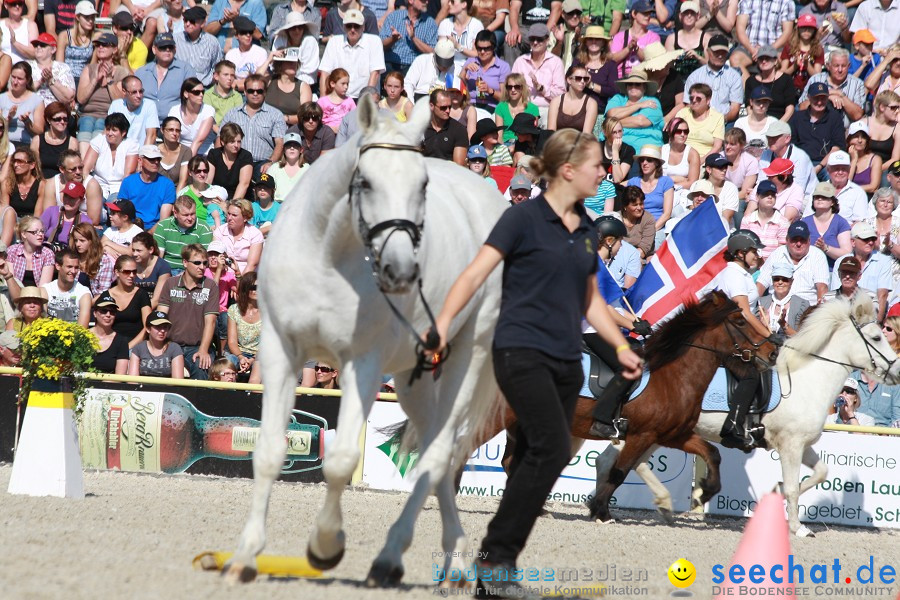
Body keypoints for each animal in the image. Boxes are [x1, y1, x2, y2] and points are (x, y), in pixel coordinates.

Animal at [225, 97, 506, 584]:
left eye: (423, 184)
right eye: (366, 182)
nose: (401, 271)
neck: (326, 254)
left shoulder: (363, 364)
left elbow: (339, 460)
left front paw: (324, 546)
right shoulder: (281, 352)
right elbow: (268, 451)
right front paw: (245, 555)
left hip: (468, 356)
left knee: (440, 453)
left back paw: (393, 557)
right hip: (414, 378)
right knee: (435, 454)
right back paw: (453, 557)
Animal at [468, 288, 776, 516]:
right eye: (740, 321)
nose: (772, 352)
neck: (673, 374)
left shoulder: (673, 435)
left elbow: (712, 453)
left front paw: (705, 492)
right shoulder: (643, 434)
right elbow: (619, 472)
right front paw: (601, 510)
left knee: (511, 462)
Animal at [592, 292, 900, 536]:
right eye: (876, 337)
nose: (896, 370)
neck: (806, 379)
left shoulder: (802, 444)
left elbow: (821, 473)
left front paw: (775, 494)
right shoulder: (790, 446)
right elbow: (793, 486)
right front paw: (798, 527)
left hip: (658, 431)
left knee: (615, 460)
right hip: (655, 430)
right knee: (626, 461)